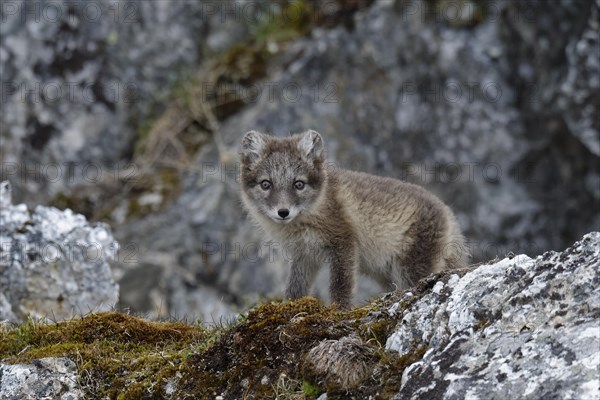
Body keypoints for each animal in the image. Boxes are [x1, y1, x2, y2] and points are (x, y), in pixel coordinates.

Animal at [239, 130, 468, 308]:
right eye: (266, 184)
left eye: (299, 184)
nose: (283, 212)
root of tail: (448, 213)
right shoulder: (304, 255)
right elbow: (295, 288)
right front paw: (289, 307)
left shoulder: (343, 240)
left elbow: (341, 284)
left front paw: (339, 311)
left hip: (411, 268)